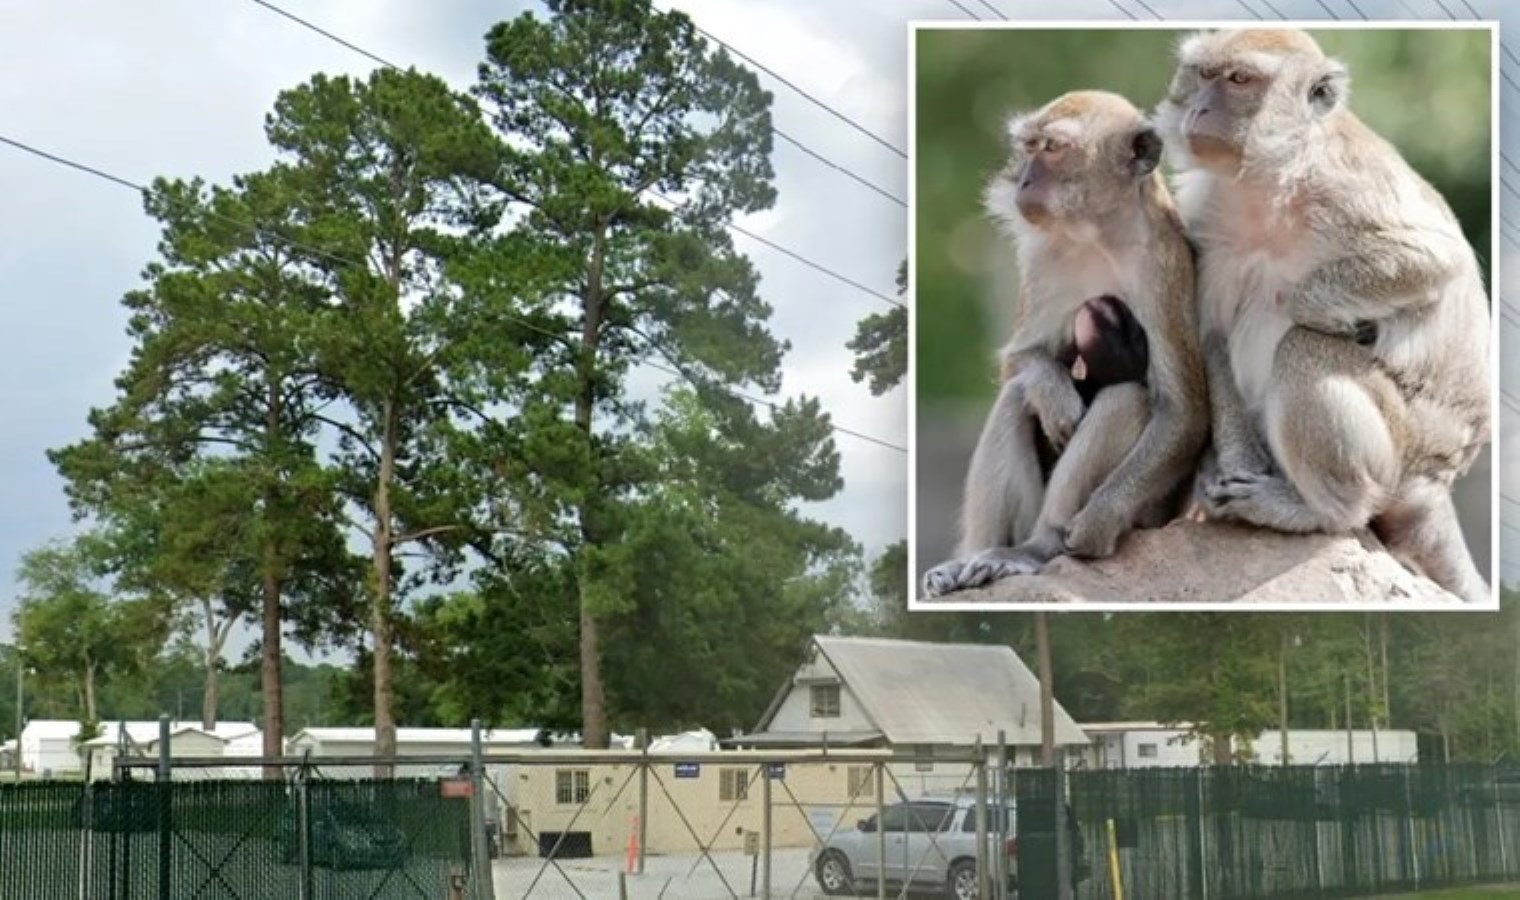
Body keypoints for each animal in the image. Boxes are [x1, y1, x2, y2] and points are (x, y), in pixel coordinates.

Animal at [918, 91, 1203, 598]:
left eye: (1052, 148)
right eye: (1030, 146)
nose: (1024, 180)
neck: (1101, 236)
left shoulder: (1164, 267)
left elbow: (1184, 411)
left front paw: (1095, 524)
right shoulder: (1042, 258)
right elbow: (1018, 366)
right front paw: (1053, 390)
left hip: (1150, 515)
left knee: (1126, 400)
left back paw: (1041, 546)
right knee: (1015, 398)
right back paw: (977, 556)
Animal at [1155, 29, 1489, 605]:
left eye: (1239, 80)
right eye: (1203, 74)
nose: (1199, 109)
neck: (1268, 182)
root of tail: (1440, 479)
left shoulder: (1347, 188)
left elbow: (1434, 260)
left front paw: (1321, 312)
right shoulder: (1207, 218)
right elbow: (1212, 334)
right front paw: (1230, 468)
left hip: (1402, 450)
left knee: (1303, 348)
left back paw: (1320, 510)